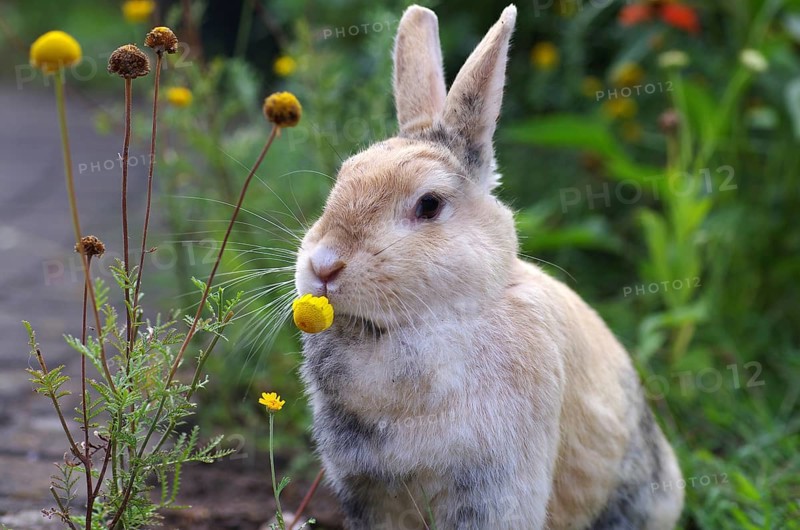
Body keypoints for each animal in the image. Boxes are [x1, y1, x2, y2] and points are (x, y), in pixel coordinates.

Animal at [294, 4, 684, 529]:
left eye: (429, 205)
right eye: (343, 177)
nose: (323, 265)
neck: (424, 324)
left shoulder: (494, 491)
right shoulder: (369, 493)